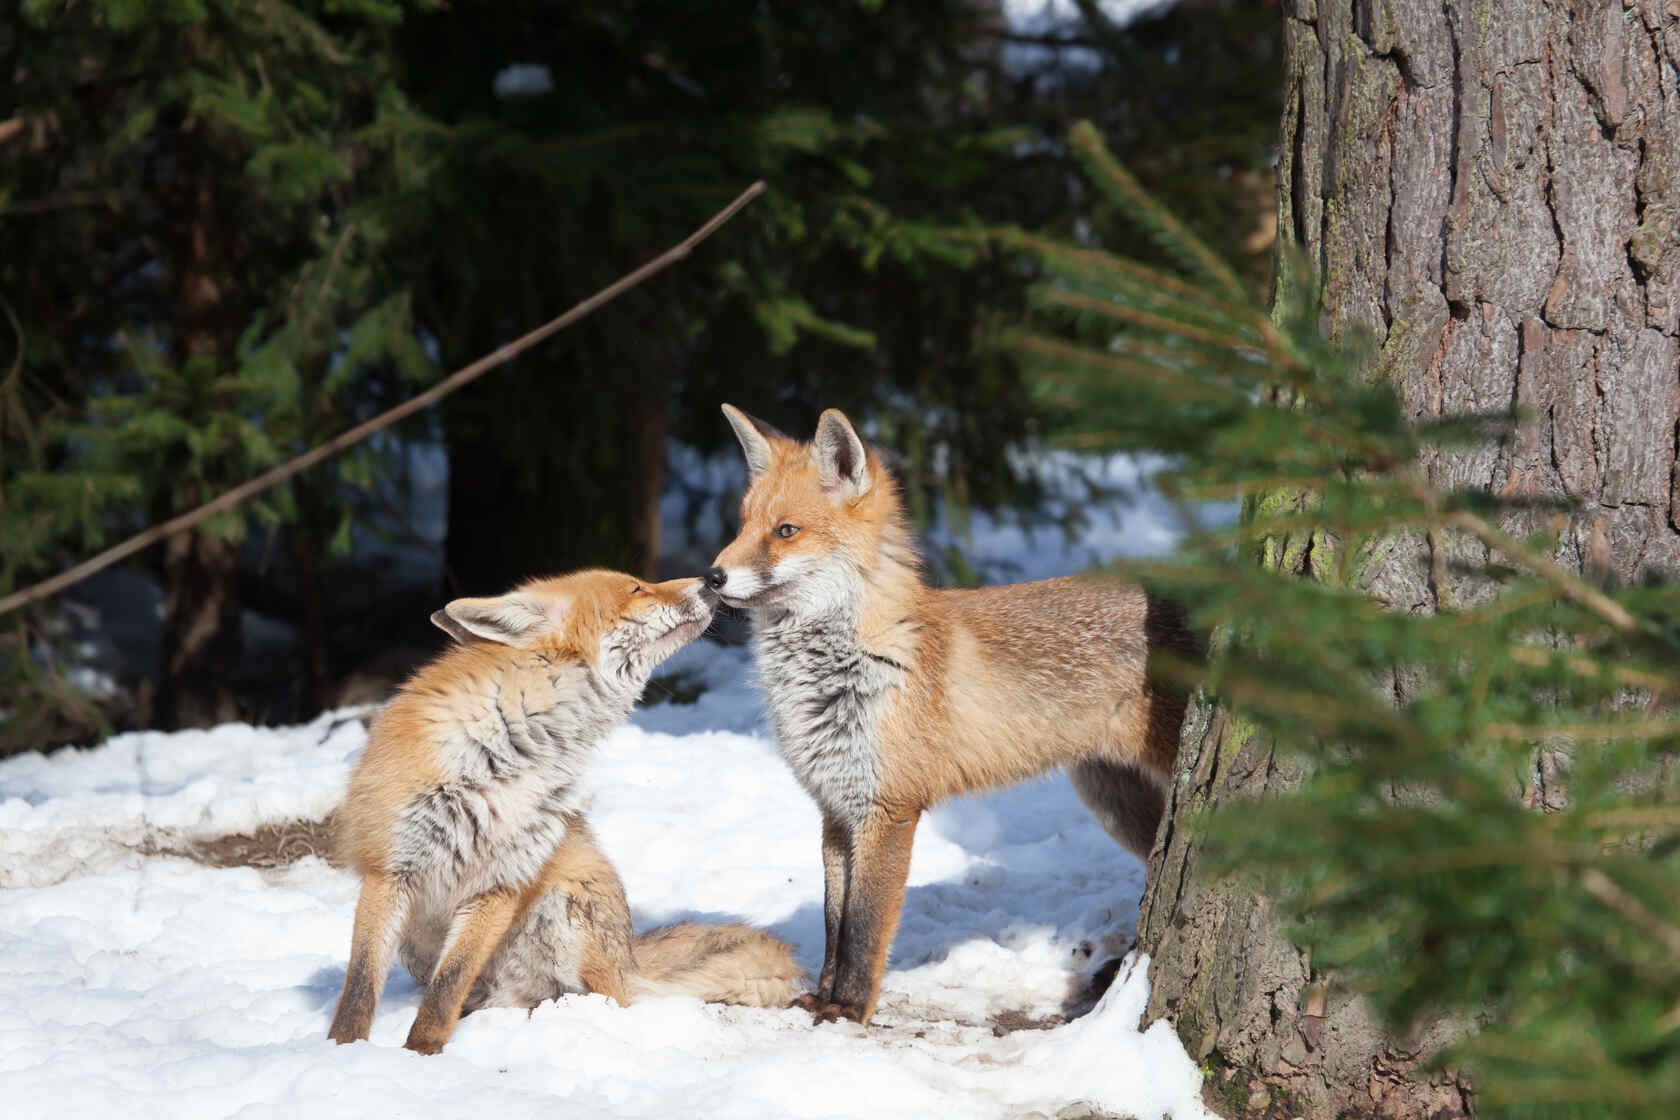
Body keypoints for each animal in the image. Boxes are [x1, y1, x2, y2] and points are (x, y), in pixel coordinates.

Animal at [326, 569, 802, 1054]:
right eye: (637, 589)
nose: (710, 578)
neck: (506, 754)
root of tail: (629, 955)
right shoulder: (389, 871)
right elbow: (361, 987)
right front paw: (343, 1050)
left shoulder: (502, 881)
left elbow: (446, 989)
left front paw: (421, 1053)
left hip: (566, 906)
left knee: (612, 998)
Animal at [708, 405, 1197, 1026]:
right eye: (742, 524)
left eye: (786, 531)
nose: (711, 577)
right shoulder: (836, 811)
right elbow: (833, 925)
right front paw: (823, 997)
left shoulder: (889, 811)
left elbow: (863, 931)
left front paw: (848, 1010)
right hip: (1117, 804)